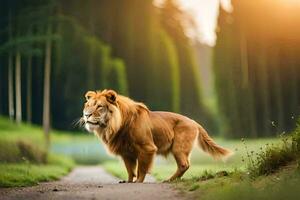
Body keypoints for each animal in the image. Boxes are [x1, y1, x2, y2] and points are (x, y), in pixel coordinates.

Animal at [81, 89, 232, 183]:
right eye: (88, 106)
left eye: (99, 106)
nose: (86, 115)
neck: (114, 126)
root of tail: (194, 122)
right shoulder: (126, 152)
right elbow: (130, 169)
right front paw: (128, 181)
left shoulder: (147, 148)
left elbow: (141, 169)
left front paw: (138, 182)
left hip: (178, 147)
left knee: (184, 165)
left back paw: (169, 180)